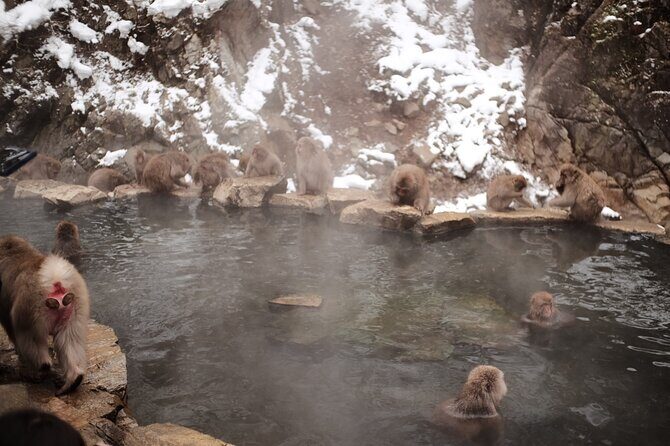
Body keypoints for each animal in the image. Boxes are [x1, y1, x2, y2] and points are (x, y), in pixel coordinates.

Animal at [0, 236, 90, 395]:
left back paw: (41, 366)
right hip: (75, 304)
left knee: (30, 340)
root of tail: (56, 282)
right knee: (70, 339)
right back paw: (73, 379)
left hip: (30, 310)